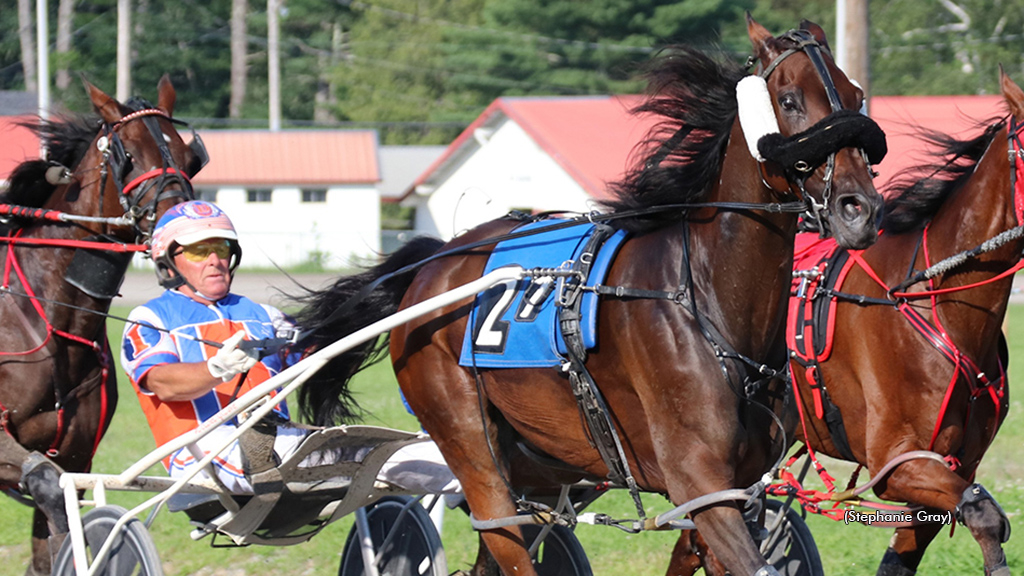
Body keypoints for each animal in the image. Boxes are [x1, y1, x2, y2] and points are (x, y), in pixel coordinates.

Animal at [296, 16, 888, 573]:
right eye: (789, 100)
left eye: (857, 96)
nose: (859, 209)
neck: (706, 301)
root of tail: (433, 264)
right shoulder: (700, 483)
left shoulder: (740, 490)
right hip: (466, 437)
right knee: (501, 531)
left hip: (539, 458)